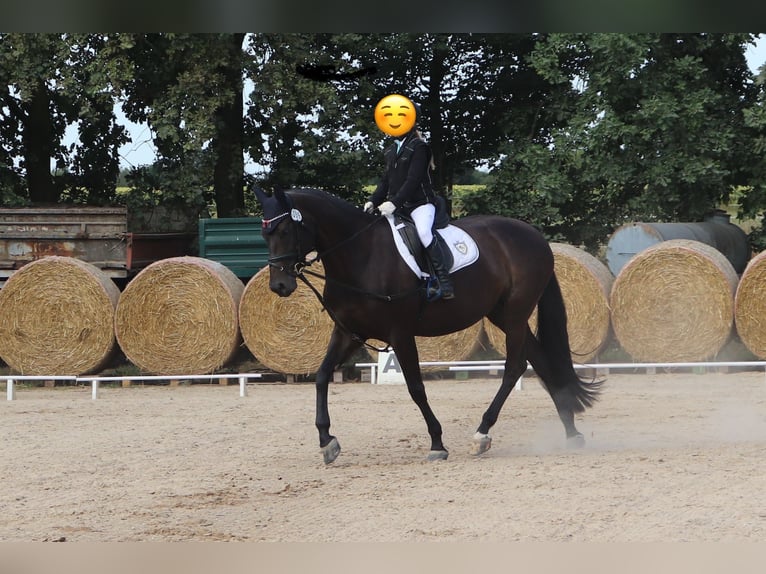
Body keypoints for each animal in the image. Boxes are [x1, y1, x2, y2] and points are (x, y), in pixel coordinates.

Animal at [255, 187, 604, 466]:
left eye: (284, 230)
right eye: (264, 234)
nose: (280, 286)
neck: (360, 256)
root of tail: (537, 237)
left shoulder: (400, 333)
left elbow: (415, 388)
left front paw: (437, 443)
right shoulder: (348, 332)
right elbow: (322, 376)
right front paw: (327, 442)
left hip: (516, 314)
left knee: (515, 367)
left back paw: (482, 434)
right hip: (502, 315)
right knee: (539, 359)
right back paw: (571, 431)